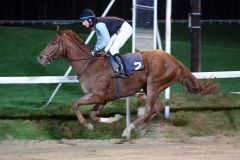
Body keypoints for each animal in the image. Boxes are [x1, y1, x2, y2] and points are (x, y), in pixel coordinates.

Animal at [37, 26, 218, 137]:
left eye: (54, 42)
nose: (41, 57)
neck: (89, 64)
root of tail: (176, 61)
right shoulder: (103, 98)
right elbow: (94, 115)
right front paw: (114, 118)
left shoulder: (97, 95)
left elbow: (75, 104)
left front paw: (87, 125)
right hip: (150, 87)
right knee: (157, 106)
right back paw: (139, 127)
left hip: (154, 84)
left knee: (151, 108)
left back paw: (129, 128)